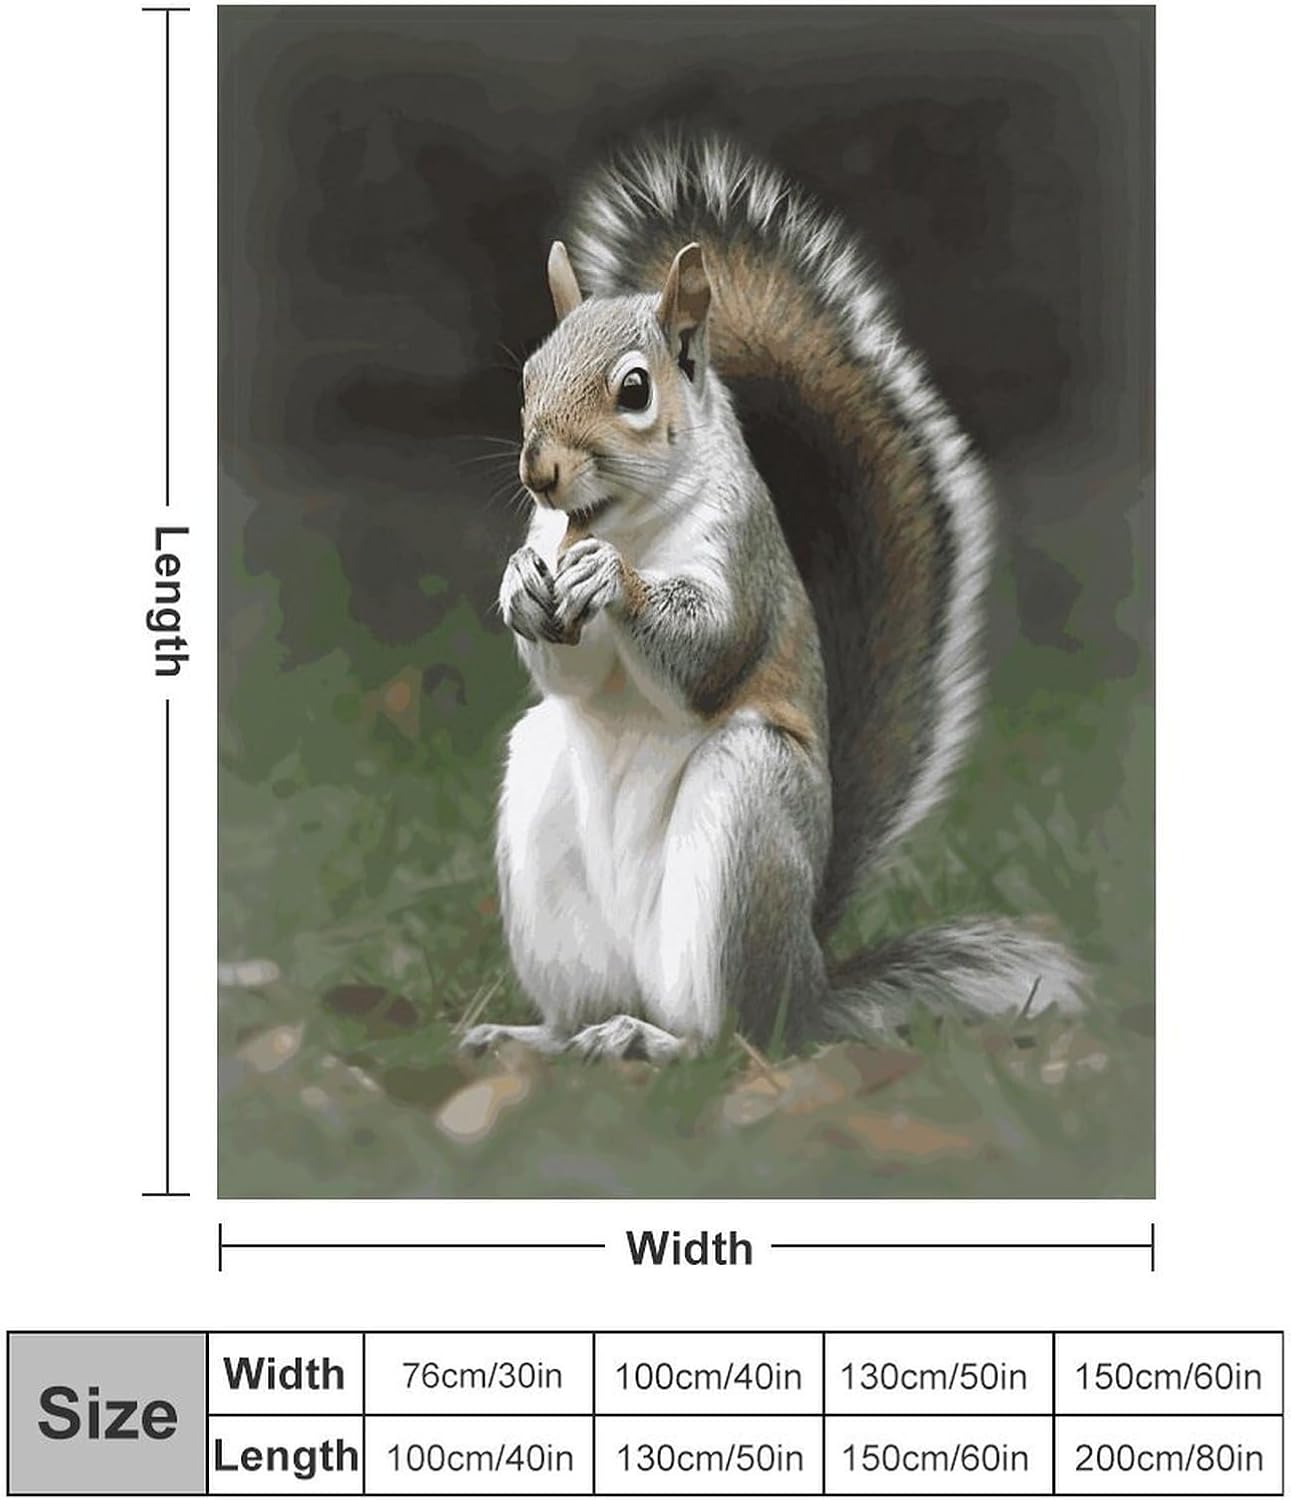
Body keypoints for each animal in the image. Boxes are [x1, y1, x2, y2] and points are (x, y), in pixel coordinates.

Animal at [462, 136, 1083, 1063]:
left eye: (634, 390)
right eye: (530, 375)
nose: (540, 471)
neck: (628, 522)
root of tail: (807, 982)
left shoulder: (742, 558)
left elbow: (713, 652)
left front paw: (612, 580)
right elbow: (564, 670)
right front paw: (517, 583)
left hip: (747, 818)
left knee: (733, 1038)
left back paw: (656, 1042)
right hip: (548, 833)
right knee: (581, 1009)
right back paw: (537, 1037)